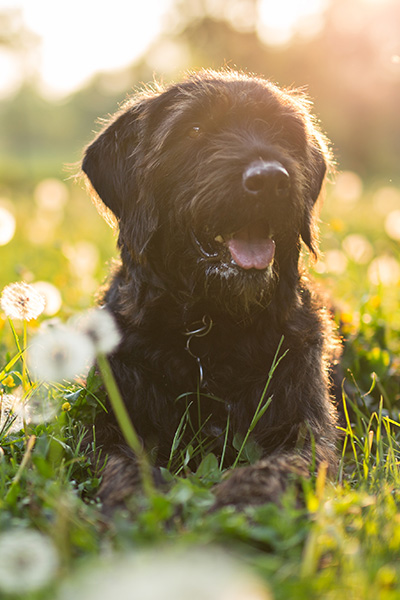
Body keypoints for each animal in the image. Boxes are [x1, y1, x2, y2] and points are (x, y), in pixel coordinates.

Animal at [82, 70, 340, 510]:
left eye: (282, 133)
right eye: (195, 130)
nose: (269, 179)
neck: (213, 330)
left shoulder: (308, 427)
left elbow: (284, 463)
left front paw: (243, 499)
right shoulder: (103, 421)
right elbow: (120, 462)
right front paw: (142, 502)